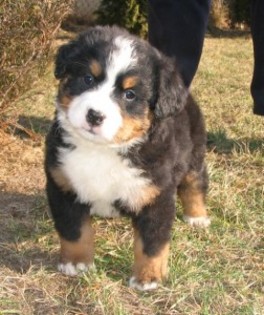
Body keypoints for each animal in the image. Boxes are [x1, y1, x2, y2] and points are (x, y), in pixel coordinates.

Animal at [44, 25, 210, 292]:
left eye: (130, 94)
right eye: (88, 79)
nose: (94, 115)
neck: (102, 151)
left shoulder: (156, 194)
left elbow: (152, 242)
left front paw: (148, 277)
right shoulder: (63, 185)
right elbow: (74, 231)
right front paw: (76, 263)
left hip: (194, 153)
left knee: (195, 183)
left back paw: (197, 216)